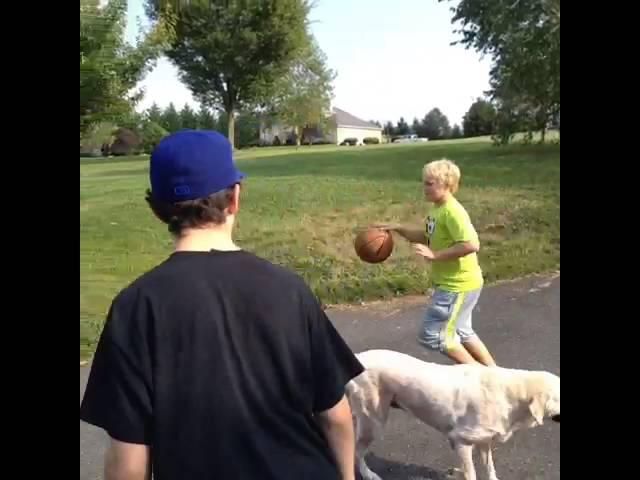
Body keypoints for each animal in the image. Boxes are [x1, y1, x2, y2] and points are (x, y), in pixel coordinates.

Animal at [344, 348, 560, 480]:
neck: (511, 394)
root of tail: (358, 356)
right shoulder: (460, 441)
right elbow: (471, 473)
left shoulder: (484, 442)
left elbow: (489, 469)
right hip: (373, 421)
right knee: (357, 451)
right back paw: (368, 474)